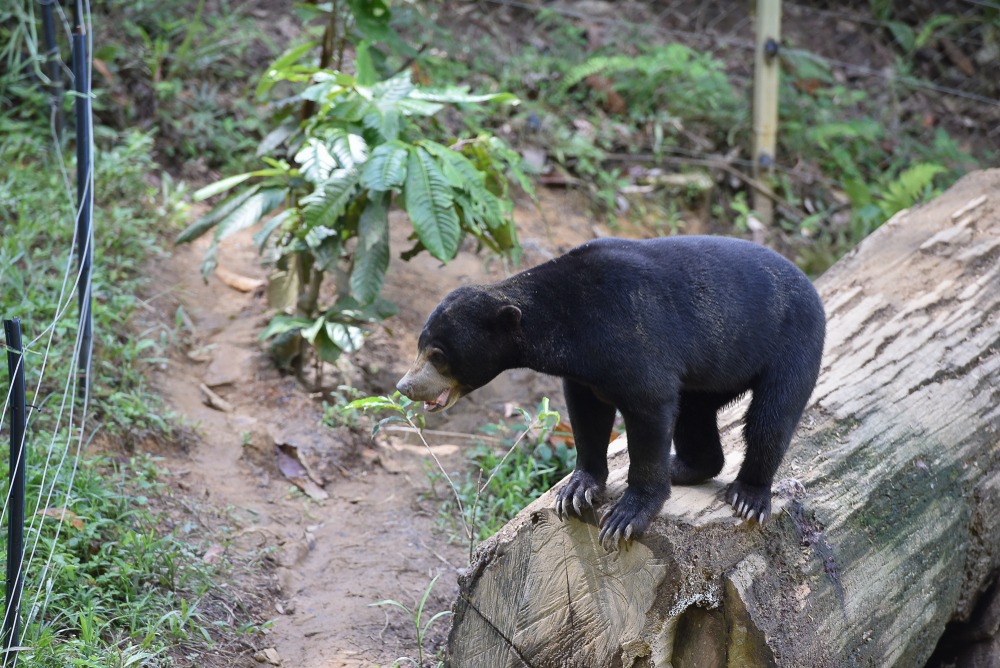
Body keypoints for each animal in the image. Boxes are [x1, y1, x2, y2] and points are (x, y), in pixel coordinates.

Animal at [396, 236, 825, 549]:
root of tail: (810, 285)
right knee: (695, 412)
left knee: (771, 417)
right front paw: (576, 491)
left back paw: (749, 496)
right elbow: (587, 416)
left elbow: (650, 405)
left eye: (439, 355)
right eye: (420, 345)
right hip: (715, 370)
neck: (566, 325)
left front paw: (625, 517)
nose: (405, 386)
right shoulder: (585, 374)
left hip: (792, 343)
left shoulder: (632, 337)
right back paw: (684, 467)